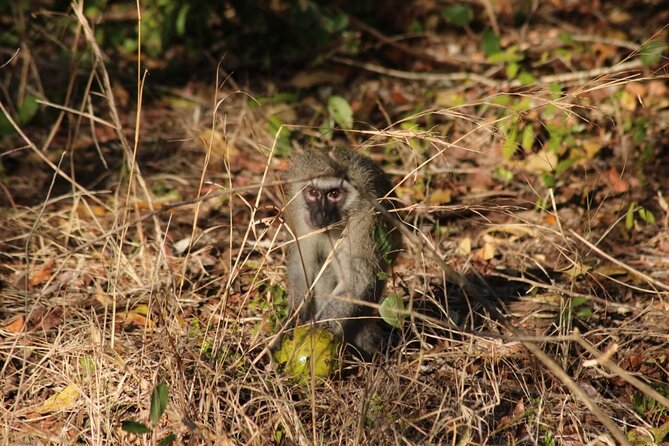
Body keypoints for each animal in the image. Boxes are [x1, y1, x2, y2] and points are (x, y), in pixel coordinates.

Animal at [284, 147, 402, 358]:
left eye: (334, 194)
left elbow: (356, 282)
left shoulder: (364, 222)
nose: (321, 214)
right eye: (313, 192)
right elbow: (301, 265)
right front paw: (295, 315)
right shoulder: (299, 216)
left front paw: (319, 327)